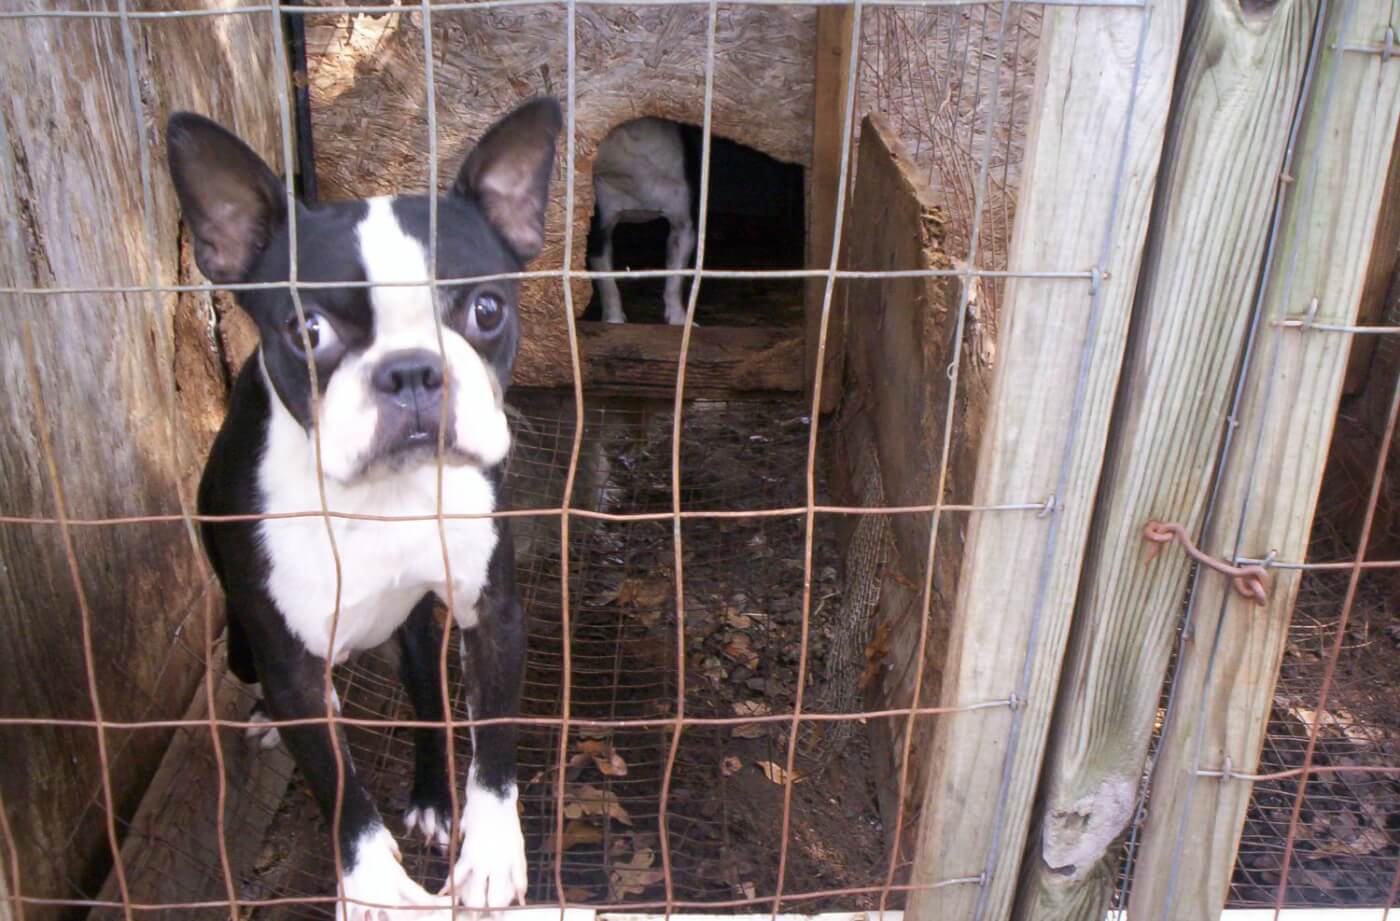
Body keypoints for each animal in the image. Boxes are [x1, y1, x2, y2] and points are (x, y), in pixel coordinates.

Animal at [173, 96, 562, 912]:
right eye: (307, 329)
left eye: (486, 310)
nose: (411, 370)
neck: (386, 493)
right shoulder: (290, 665)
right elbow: (340, 788)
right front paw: (376, 886)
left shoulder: (494, 611)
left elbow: (494, 742)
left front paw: (490, 855)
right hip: (247, 646)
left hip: (414, 630)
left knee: (428, 700)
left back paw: (435, 801)